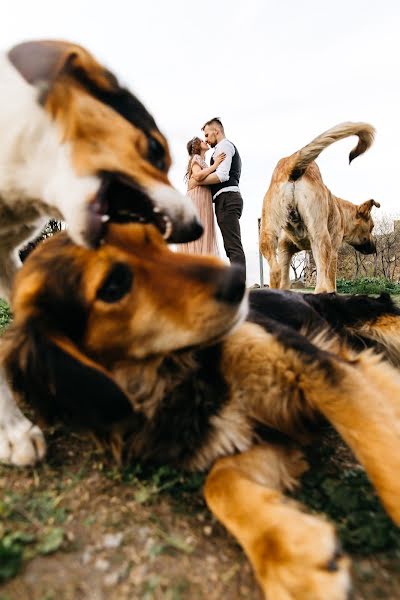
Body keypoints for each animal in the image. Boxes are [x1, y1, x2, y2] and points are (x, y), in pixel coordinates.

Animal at [2, 223, 400, 596]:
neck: (179, 372)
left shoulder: (314, 367)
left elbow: (379, 447)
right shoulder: (274, 435)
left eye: (155, 241)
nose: (239, 279)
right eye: (113, 286)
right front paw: (293, 557)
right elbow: (219, 482)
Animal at [260, 121, 380, 292]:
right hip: (321, 238)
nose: (375, 249)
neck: (341, 209)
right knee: (321, 284)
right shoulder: (334, 251)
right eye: (371, 227)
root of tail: (292, 163)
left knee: (275, 271)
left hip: (267, 232)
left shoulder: (284, 247)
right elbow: (331, 283)